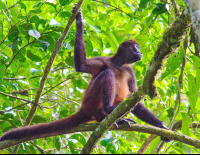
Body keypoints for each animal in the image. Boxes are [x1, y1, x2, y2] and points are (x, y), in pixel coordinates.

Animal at [0, 5, 170, 142]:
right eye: (136, 48)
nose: (140, 53)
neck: (119, 64)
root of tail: (84, 109)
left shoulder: (130, 71)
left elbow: (136, 100)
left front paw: (162, 127)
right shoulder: (103, 60)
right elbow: (82, 66)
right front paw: (79, 21)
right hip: (91, 101)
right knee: (107, 74)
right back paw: (108, 109)